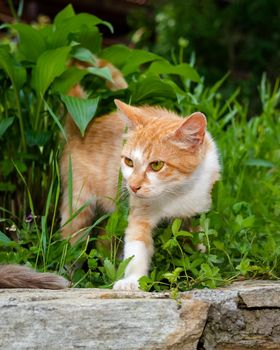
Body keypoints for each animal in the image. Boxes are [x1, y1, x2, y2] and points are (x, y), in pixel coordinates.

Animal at [60, 93, 220, 290]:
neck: (176, 193)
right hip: (79, 204)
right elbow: (137, 245)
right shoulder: (139, 211)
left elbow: (196, 239)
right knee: (72, 240)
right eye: (129, 162)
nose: (133, 186)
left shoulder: (197, 210)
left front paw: (200, 265)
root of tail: (82, 129)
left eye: (156, 165)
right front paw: (131, 280)